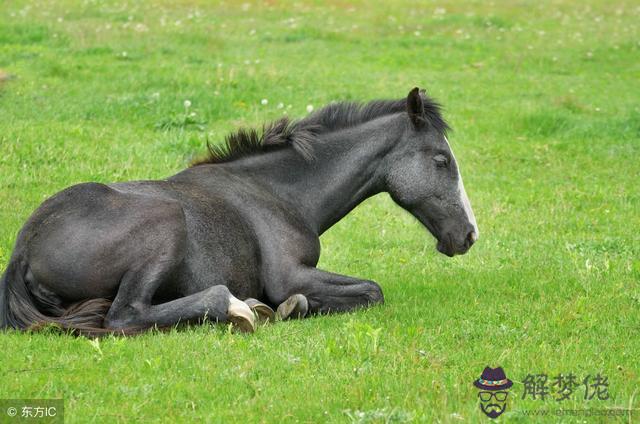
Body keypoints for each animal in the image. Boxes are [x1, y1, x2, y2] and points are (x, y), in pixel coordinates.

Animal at [0, 88, 478, 334]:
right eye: (441, 160)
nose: (469, 235)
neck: (277, 193)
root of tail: (23, 251)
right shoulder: (290, 274)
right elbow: (371, 291)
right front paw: (288, 307)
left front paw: (289, 308)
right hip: (164, 225)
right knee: (125, 316)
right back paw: (239, 308)